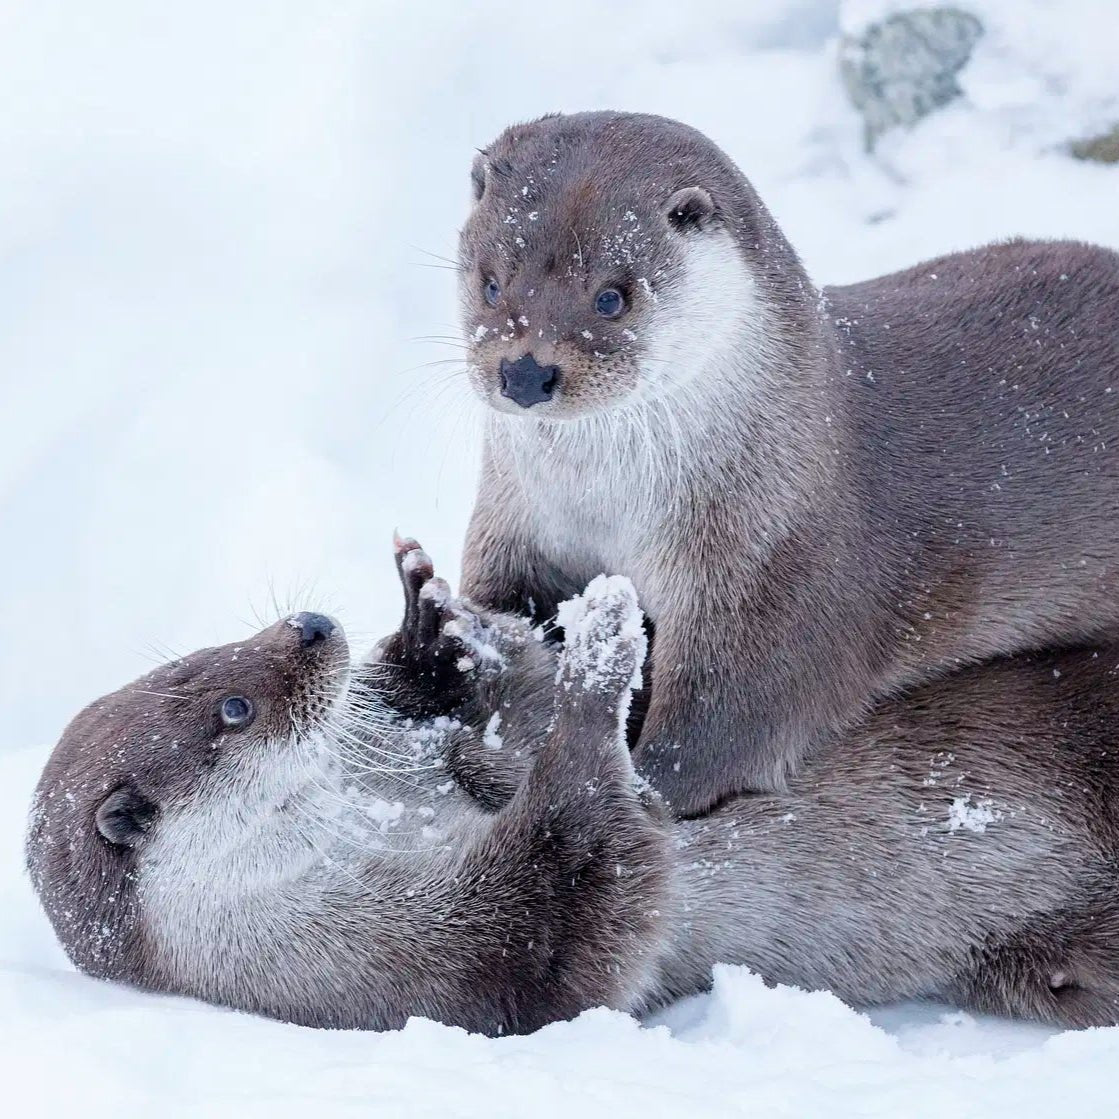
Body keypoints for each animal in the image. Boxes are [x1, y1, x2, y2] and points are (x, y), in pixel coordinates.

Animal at [27, 540, 1119, 1032]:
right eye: (233, 709)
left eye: (210, 655)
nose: (311, 626)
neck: (367, 819)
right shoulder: (411, 968)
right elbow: (578, 898)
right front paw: (598, 657)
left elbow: (492, 727)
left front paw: (433, 627)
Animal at [456, 110, 1119, 815]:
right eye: (491, 284)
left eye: (612, 297)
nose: (526, 372)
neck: (609, 510)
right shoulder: (520, 525)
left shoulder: (771, 574)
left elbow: (708, 746)